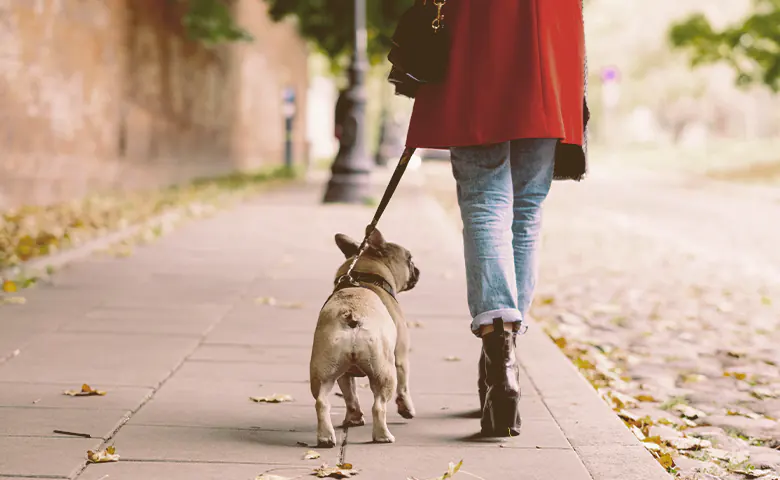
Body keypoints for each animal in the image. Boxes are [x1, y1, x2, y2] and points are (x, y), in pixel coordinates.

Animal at [310, 229, 420, 446]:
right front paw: (407, 409)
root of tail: (352, 315)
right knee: (379, 405)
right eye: (409, 259)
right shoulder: (401, 358)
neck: (365, 277)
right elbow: (404, 387)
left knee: (322, 402)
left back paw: (326, 437)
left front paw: (353, 418)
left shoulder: (345, 375)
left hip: (324, 371)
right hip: (384, 372)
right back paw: (383, 436)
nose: (418, 270)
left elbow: (350, 396)